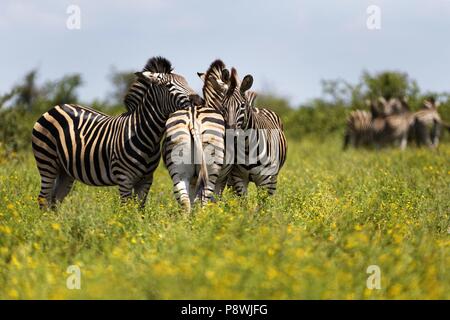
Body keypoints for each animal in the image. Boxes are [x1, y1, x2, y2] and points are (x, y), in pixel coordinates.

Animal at [31, 56, 200, 209]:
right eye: (168, 85)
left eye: (186, 81)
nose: (199, 100)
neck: (147, 135)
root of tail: (56, 107)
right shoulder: (124, 178)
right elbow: (126, 209)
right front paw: (126, 223)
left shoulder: (146, 179)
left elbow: (140, 209)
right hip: (47, 162)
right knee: (43, 198)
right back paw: (45, 222)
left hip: (65, 170)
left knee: (55, 200)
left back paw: (56, 223)